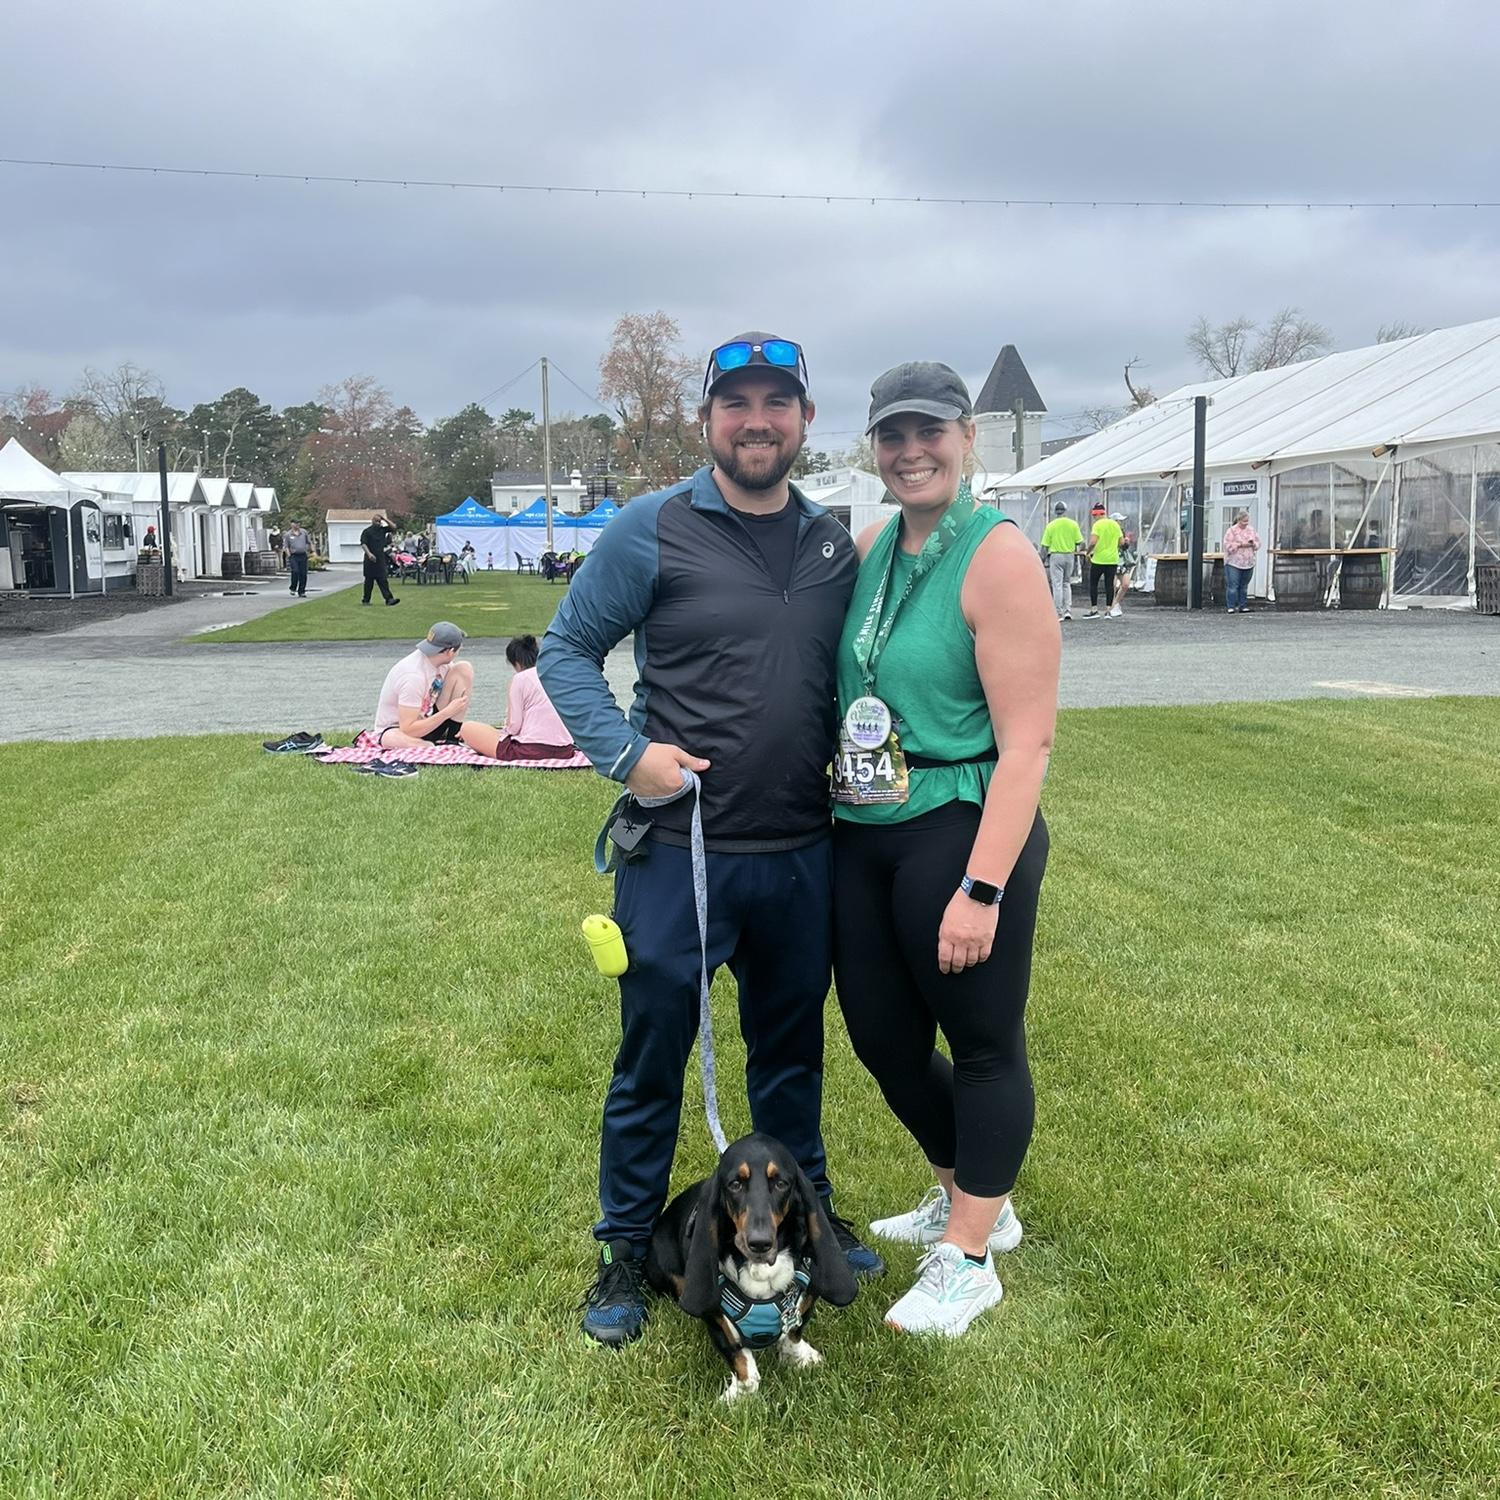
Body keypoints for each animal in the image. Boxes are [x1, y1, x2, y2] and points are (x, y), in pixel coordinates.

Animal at [646, 1132, 858, 1402]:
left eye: (781, 1183)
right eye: (735, 1184)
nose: (759, 1242)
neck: (762, 1272)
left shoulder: (807, 1296)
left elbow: (794, 1331)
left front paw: (801, 1356)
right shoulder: (718, 1321)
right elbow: (741, 1361)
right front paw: (739, 1394)